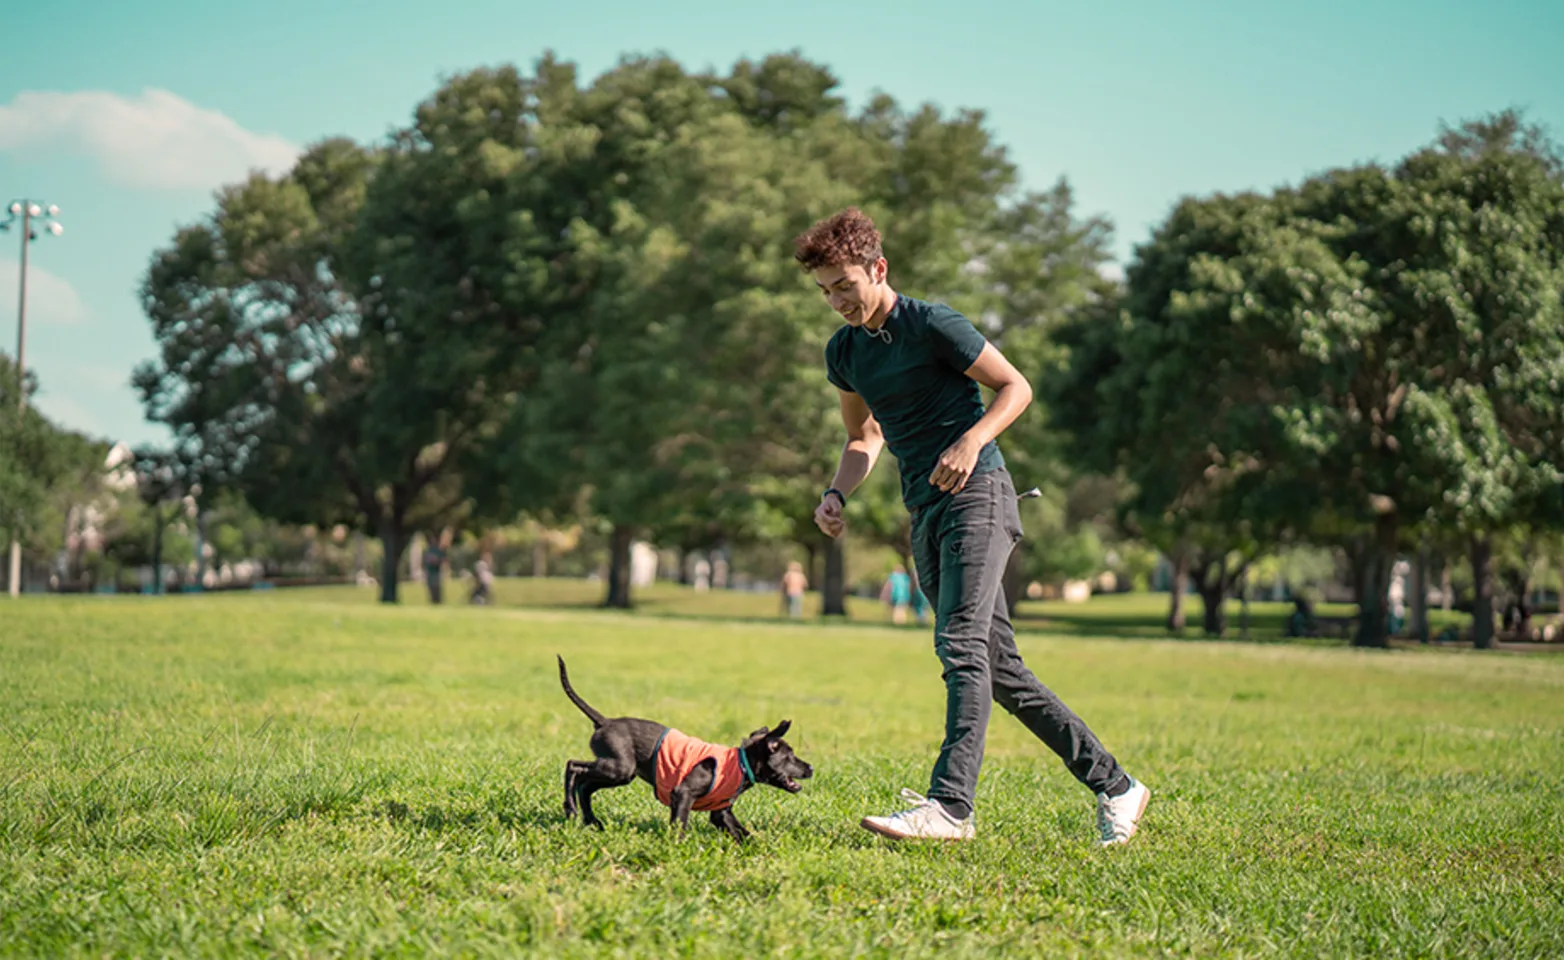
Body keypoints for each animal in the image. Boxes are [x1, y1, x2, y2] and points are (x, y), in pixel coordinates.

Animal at [556, 659, 813, 844]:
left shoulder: (721, 813)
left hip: (619, 773)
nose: (810, 767)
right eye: (790, 756)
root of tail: (605, 722)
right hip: (619, 768)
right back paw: (570, 808)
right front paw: (676, 849)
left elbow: (744, 834)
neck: (741, 764)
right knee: (573, 766)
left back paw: (591, 820)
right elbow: (679, 824)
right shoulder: (683, 794)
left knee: (585, 786)